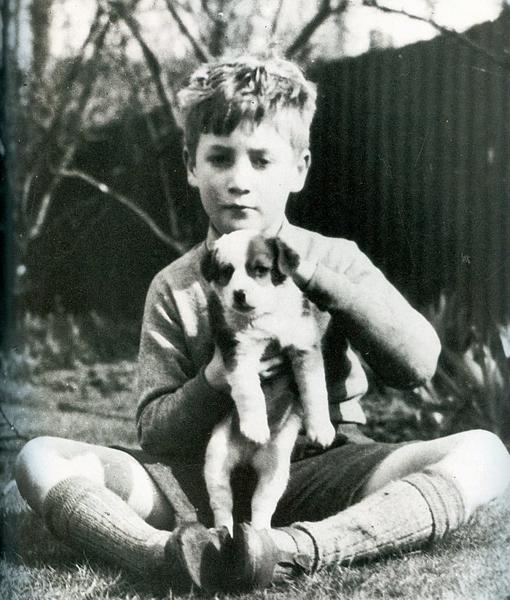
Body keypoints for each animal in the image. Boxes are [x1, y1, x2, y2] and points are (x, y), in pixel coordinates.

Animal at [201, 229, 336, 528]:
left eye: (260, 270)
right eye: (226, 271)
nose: (239, 294)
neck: (266, 316)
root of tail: (249, 457)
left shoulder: (304, 347)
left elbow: (315, 391)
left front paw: (321, 429)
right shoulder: (240, 351)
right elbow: (250, 392)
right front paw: (256, 426)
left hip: (277, 470)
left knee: (261, 506)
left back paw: (260, 533)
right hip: (216, 459)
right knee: (222, 504)